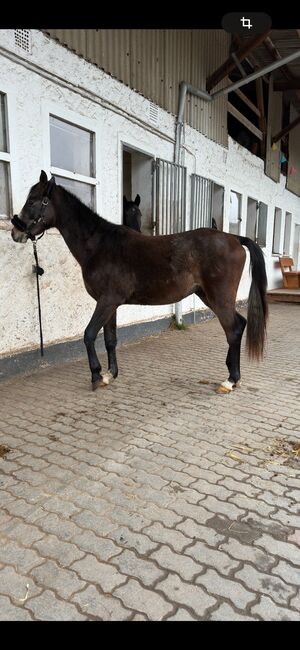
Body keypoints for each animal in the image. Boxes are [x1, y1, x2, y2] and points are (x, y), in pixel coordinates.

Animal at [11, 171, 268, 390]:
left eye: (33, 201)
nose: (16, 232)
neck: (100, 245)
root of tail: (234, 238)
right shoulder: (110, 304)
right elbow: (110, 339)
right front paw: (110, 374)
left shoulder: (107, 301)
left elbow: (89, 334)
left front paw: (96, 375)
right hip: (207, 296)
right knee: (239, 325)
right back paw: (232, 375)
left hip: (219, 298)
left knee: (233, 329)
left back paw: (230, 380)